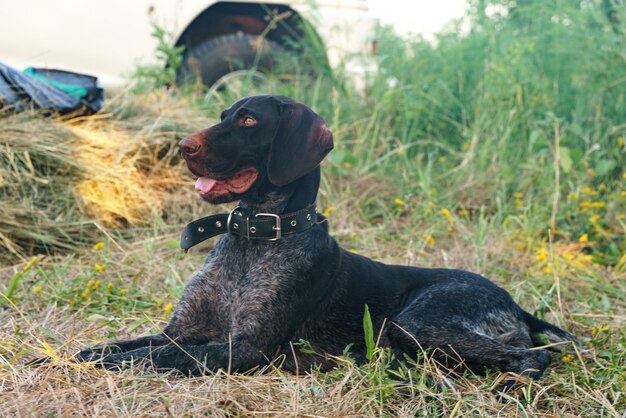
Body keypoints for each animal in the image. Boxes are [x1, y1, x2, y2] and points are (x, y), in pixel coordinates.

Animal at [75, 95, 576, 386]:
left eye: (248, 120)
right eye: (222, 117)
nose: (182, 145)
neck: (254, 238)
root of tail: (514, 304)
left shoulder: (244, 349)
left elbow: (155, 357)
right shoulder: (179, 330)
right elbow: (121, 345)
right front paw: (77, 354)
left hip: (418, 322)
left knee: (533, 357)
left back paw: (512, 384)